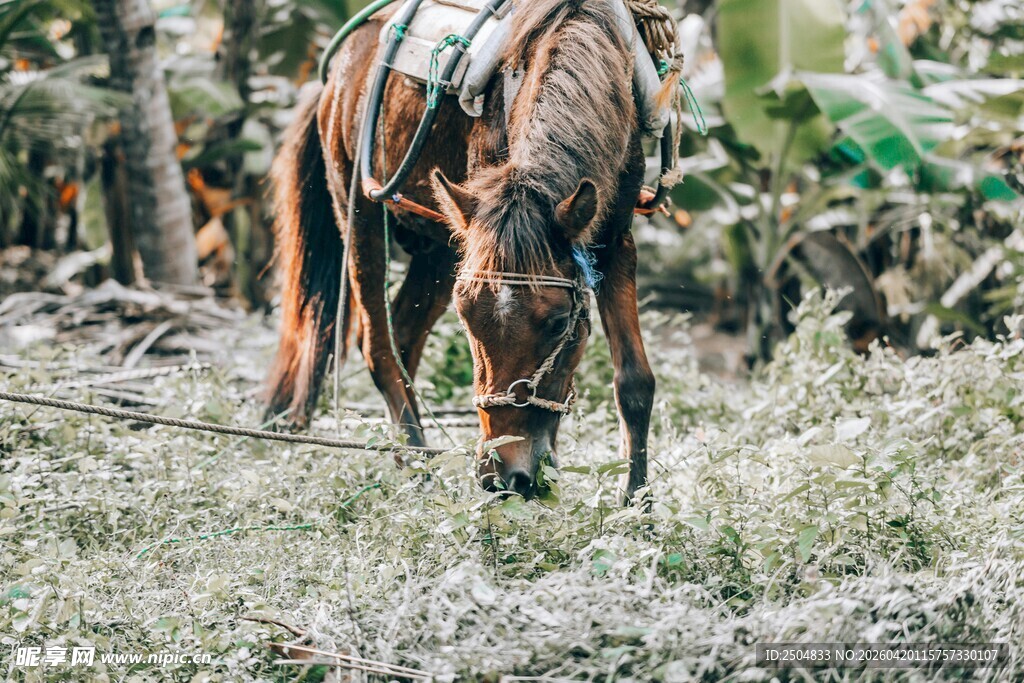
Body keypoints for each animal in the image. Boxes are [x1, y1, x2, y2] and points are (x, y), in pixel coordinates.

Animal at [265, 0, 656, 502]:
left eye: (557, 323)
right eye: (466, 320)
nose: (503, 477)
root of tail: (334, 76)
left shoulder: (615, 238)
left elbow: (634, 381)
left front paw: (637, 504)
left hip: (440, 245)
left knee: (404, 336)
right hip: (359, 209)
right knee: (379, 347)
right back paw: (417, 468)